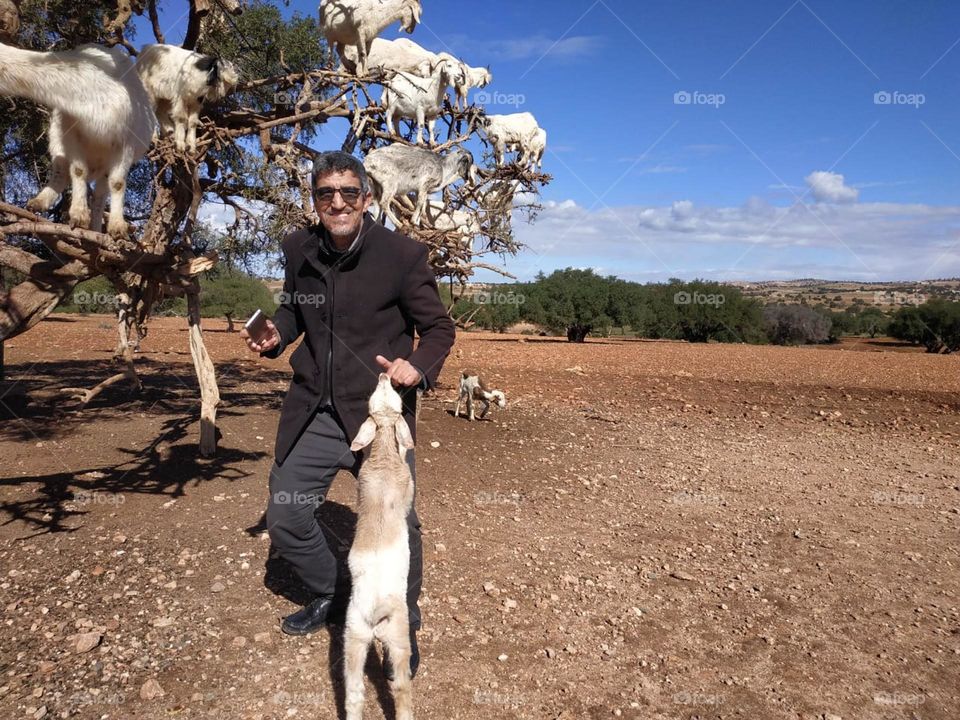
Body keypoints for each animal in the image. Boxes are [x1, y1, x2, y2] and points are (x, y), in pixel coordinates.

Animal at [0, 40, 156, 238]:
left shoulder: (126, 142)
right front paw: (79, 216)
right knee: (61, 171)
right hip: (56, 140)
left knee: (99, 197)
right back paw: (38, 202)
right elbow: (78, 170)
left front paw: (117, 227)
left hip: (105, 166)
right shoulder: (71, 130)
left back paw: (97, 229)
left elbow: (118, 183)